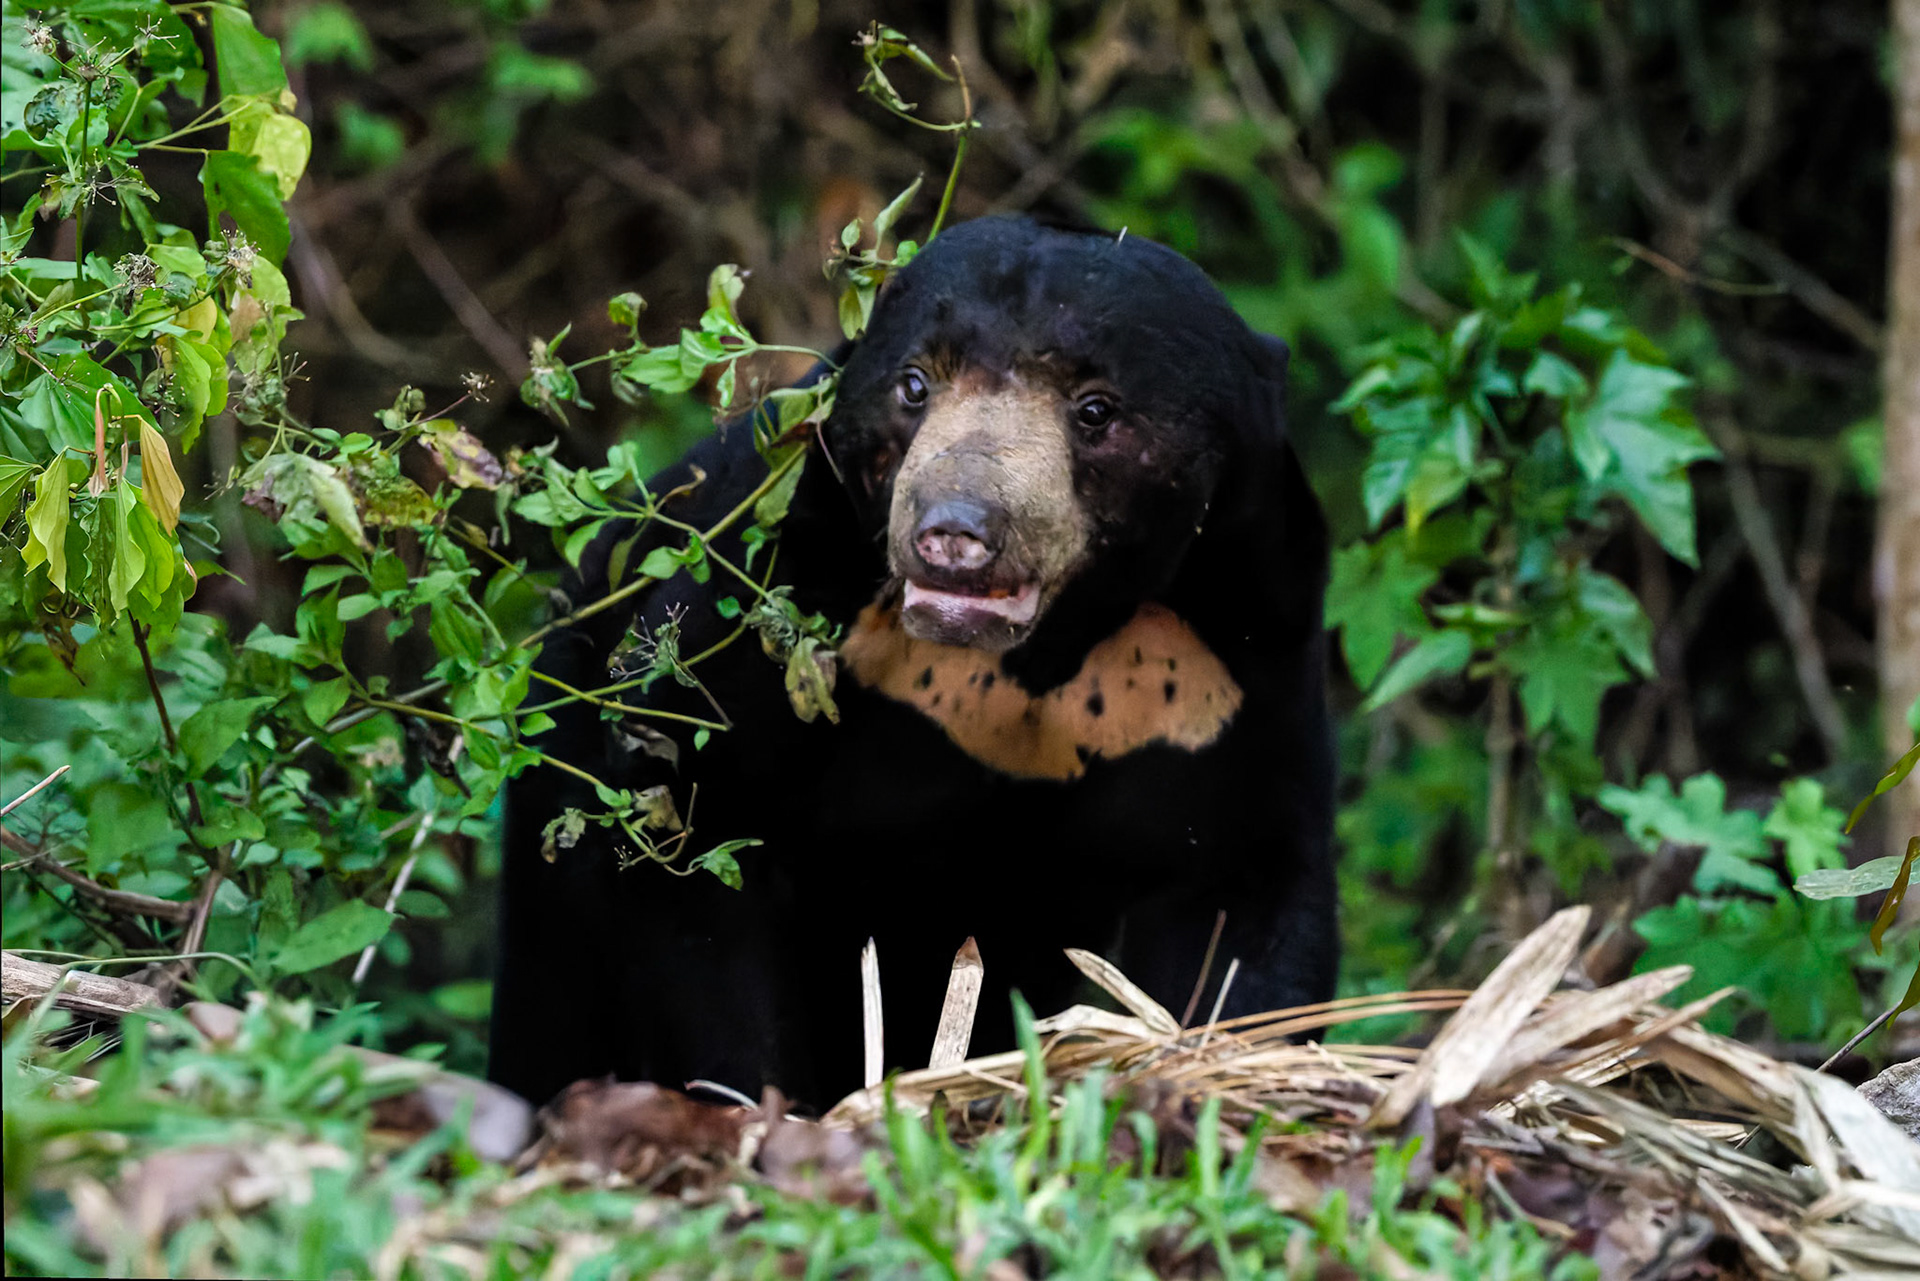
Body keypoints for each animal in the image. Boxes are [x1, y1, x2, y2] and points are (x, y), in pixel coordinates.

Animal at [488, 216, 1335, 1110]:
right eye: (915, 384)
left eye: (1096, 409)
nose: (954, 530)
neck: (1036, 658)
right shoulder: (782, 598)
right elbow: (700, 825)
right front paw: (757, 1102)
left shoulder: (1231, 669)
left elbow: (1243, 898)